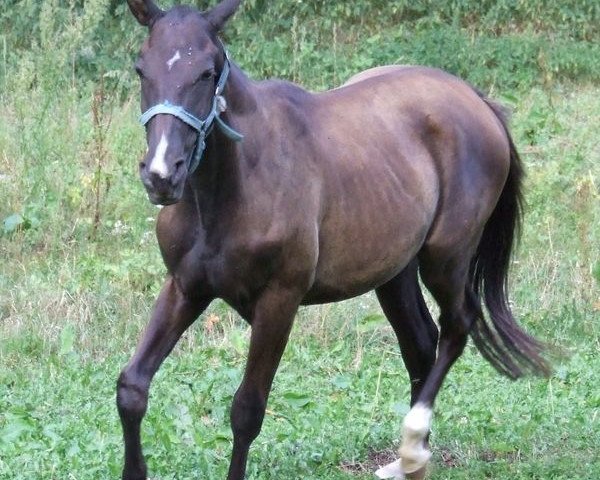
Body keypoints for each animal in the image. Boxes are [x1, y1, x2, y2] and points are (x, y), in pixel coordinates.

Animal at [115, 1, 552, 478]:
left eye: (208, 72)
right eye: (141, 68)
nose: (161, 175)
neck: (239, 183)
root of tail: (477, 100)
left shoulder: (280, 300)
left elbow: (247, 410)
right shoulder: (185, 288)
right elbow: (131, 388)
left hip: (446, 259)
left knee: (458, 326)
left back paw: (414, 445)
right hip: (394, 271)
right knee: (421, 343)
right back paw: (407, 461)